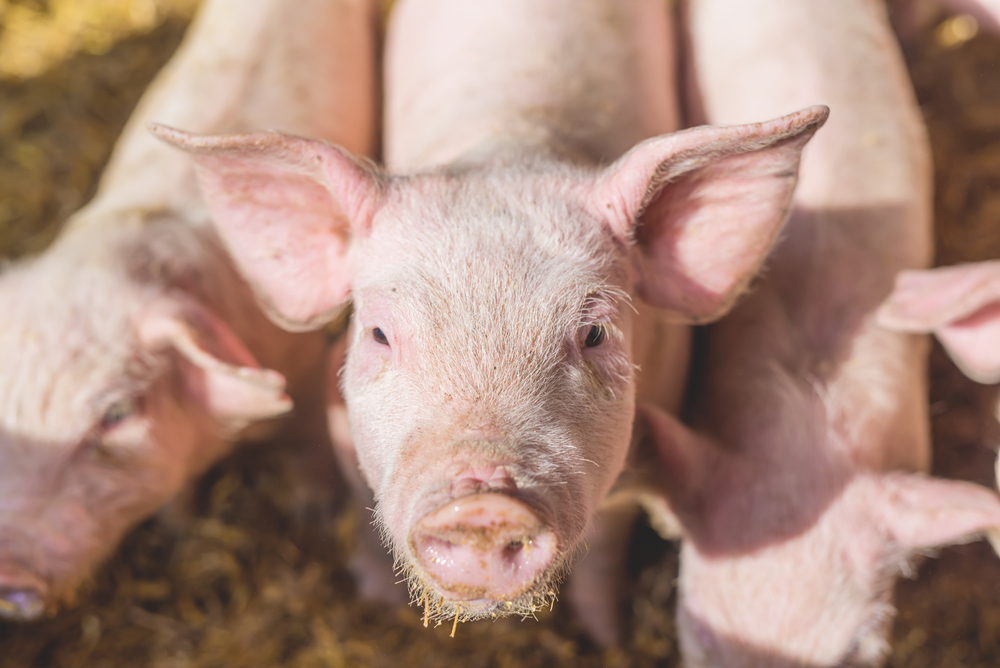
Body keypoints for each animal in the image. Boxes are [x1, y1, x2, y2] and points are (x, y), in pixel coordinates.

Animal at [0, 0, 378, 620]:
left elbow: (308, 441)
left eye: (117, 414)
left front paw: (316, 512)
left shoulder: (299, 365)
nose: (10, 571)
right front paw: (179, 528)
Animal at [152, 0, 828, 632]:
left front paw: (603, 638)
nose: (483, 505)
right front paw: (376, 601)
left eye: (594, 334)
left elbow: (606, 551)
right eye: (378, 334)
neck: (508, 145)